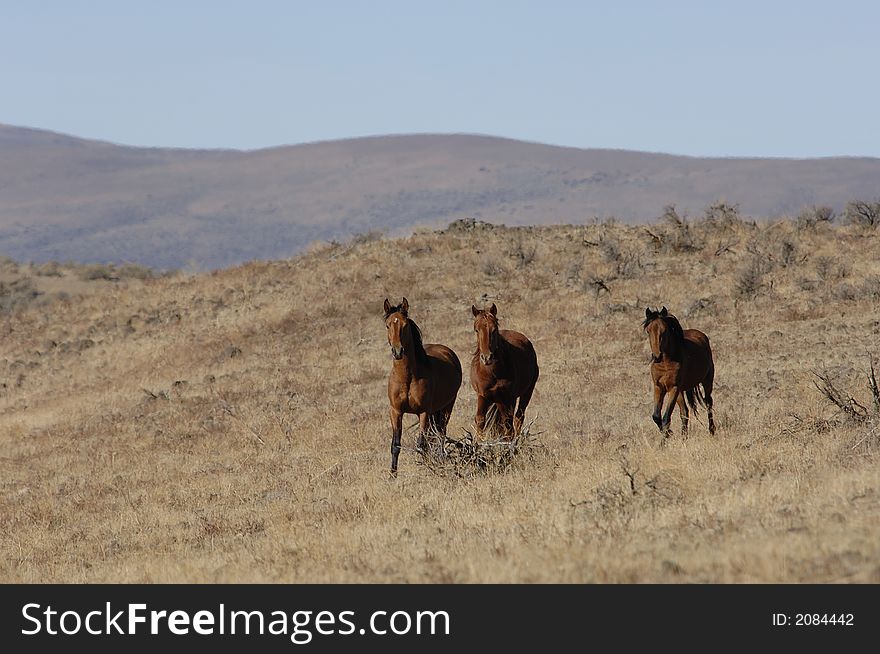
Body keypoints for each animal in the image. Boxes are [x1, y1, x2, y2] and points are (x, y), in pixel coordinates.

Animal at [382, 298, 460, 476]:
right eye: (388, 325)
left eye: (404, 325)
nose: (398, 351)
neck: (407, 378)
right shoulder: (395, 412)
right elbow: (395, 445)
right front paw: (392, 475)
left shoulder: (423, 412)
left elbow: (421, 444)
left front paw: (424, 468)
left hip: (447, 407)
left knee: (441, 434)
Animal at [470, 306, 540, 440]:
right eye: (476, 330)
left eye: (494, 329)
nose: (487, 358)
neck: (492, 374)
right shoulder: (482, 396)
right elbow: (480, 422)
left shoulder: (506, 399)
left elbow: (508, 426)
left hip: (525, 393)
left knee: (518, 418)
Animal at [644, 308, 720, 440]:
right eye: (648, 331)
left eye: (664, 331)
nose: (657, 356)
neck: (666, 363)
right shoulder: (659, 387)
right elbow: (656, 416)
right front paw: (668, 434)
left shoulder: (673, 388)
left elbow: (666, 418)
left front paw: (666, 437)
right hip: (680, 391)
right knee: (685, 411)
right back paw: (684, 438)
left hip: (706, 381)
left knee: (708, 403)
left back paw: (711, 431)